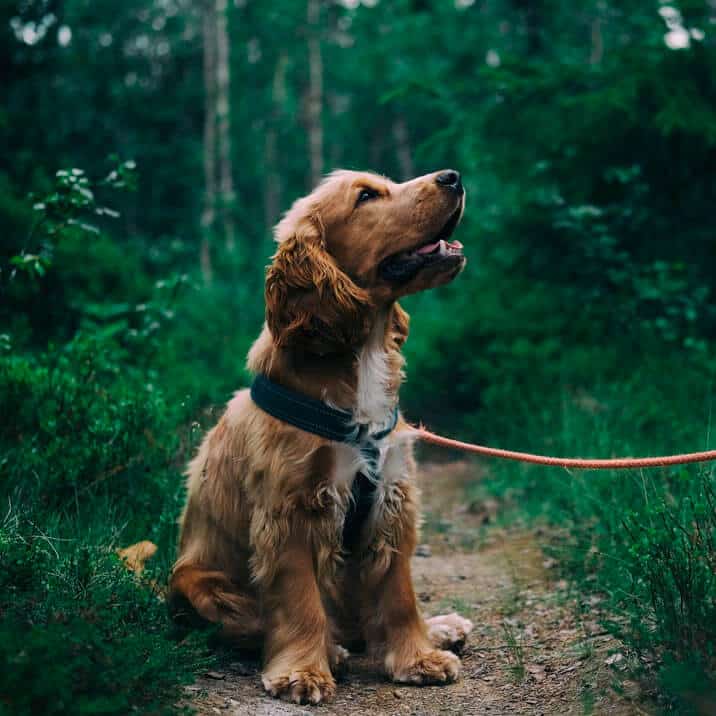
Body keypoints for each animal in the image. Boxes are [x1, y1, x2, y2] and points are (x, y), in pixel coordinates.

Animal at [170, 169, 472, 704]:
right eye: (367, 196)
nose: (453, 176)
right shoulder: (291, 510)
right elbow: (299, 600)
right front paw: (303, 672)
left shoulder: (392, 500)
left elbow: (399, 593)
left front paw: (418, 657)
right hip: (198, 583)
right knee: (258, 624)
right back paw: (331, 649)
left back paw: (439, 628)